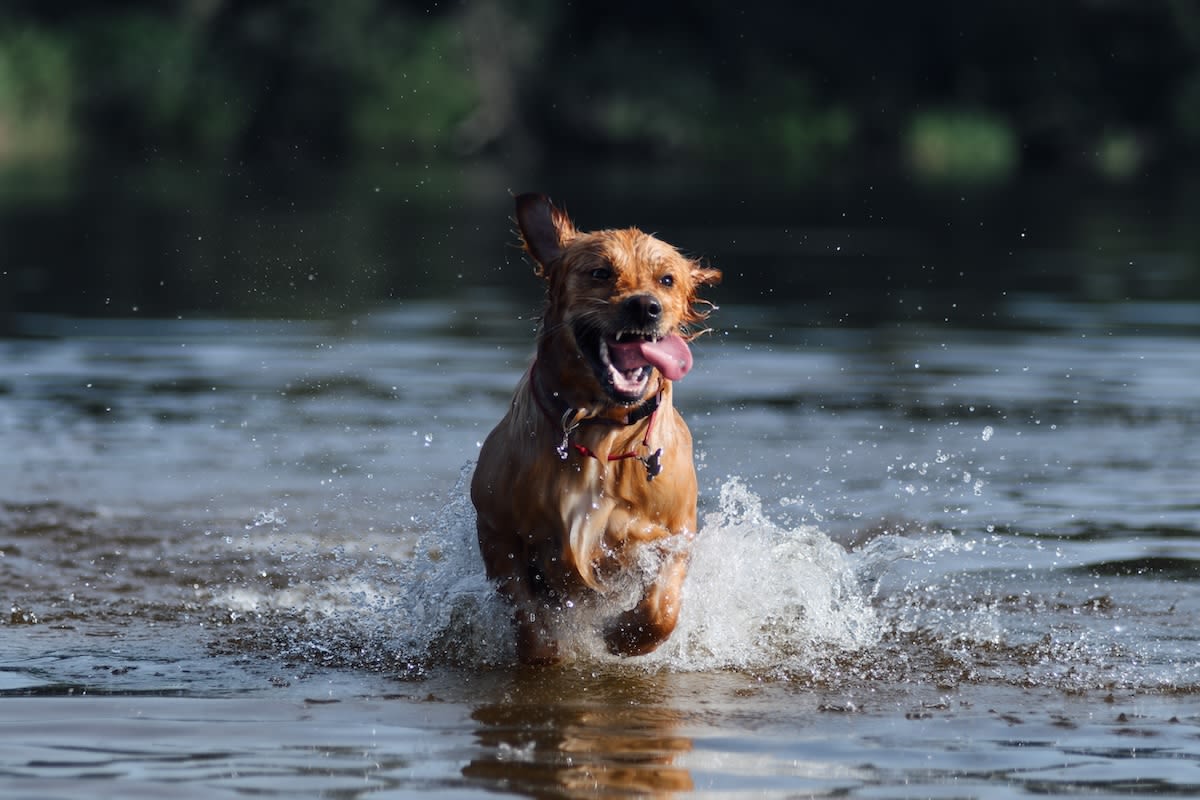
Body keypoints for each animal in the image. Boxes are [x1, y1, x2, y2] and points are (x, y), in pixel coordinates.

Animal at [468, 194, 715, 662]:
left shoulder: (677, 533)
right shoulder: (496, 530)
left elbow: (663, 608)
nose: (646, 306)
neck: (601, 430)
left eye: (667, 279)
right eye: (600, 272)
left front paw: (626, 636)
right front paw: (546, 650)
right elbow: (526, 613)